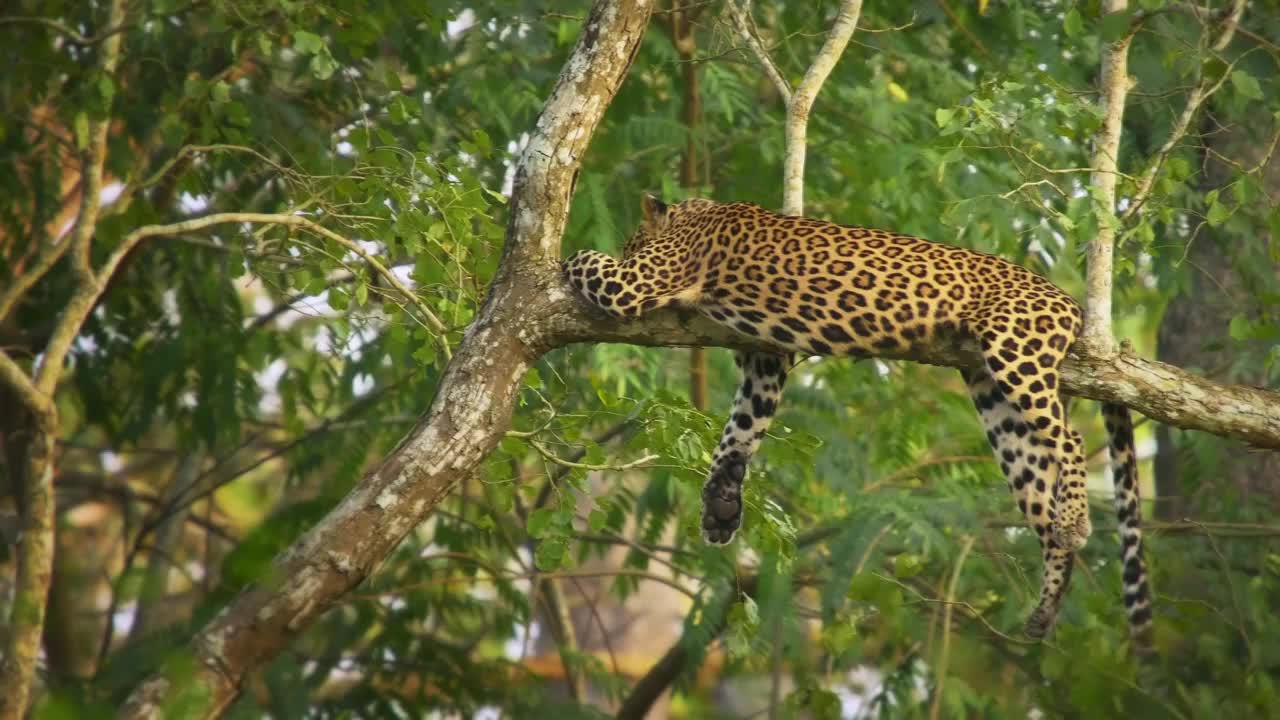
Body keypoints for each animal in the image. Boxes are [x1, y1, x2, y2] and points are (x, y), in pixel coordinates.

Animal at [565, 193, 1157, 648]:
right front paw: (721, 505)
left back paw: (1075, 521)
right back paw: (1047, 602)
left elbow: (587, 263)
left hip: (1016, 353)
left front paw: (564, 261)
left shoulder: (639, 281)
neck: (698, 214)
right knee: (1041, 486)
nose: (627, 247)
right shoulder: (765, 359)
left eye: (631, 245)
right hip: (997, 404)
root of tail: (1067, 300)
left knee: (1071, 437)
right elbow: (741, 429)